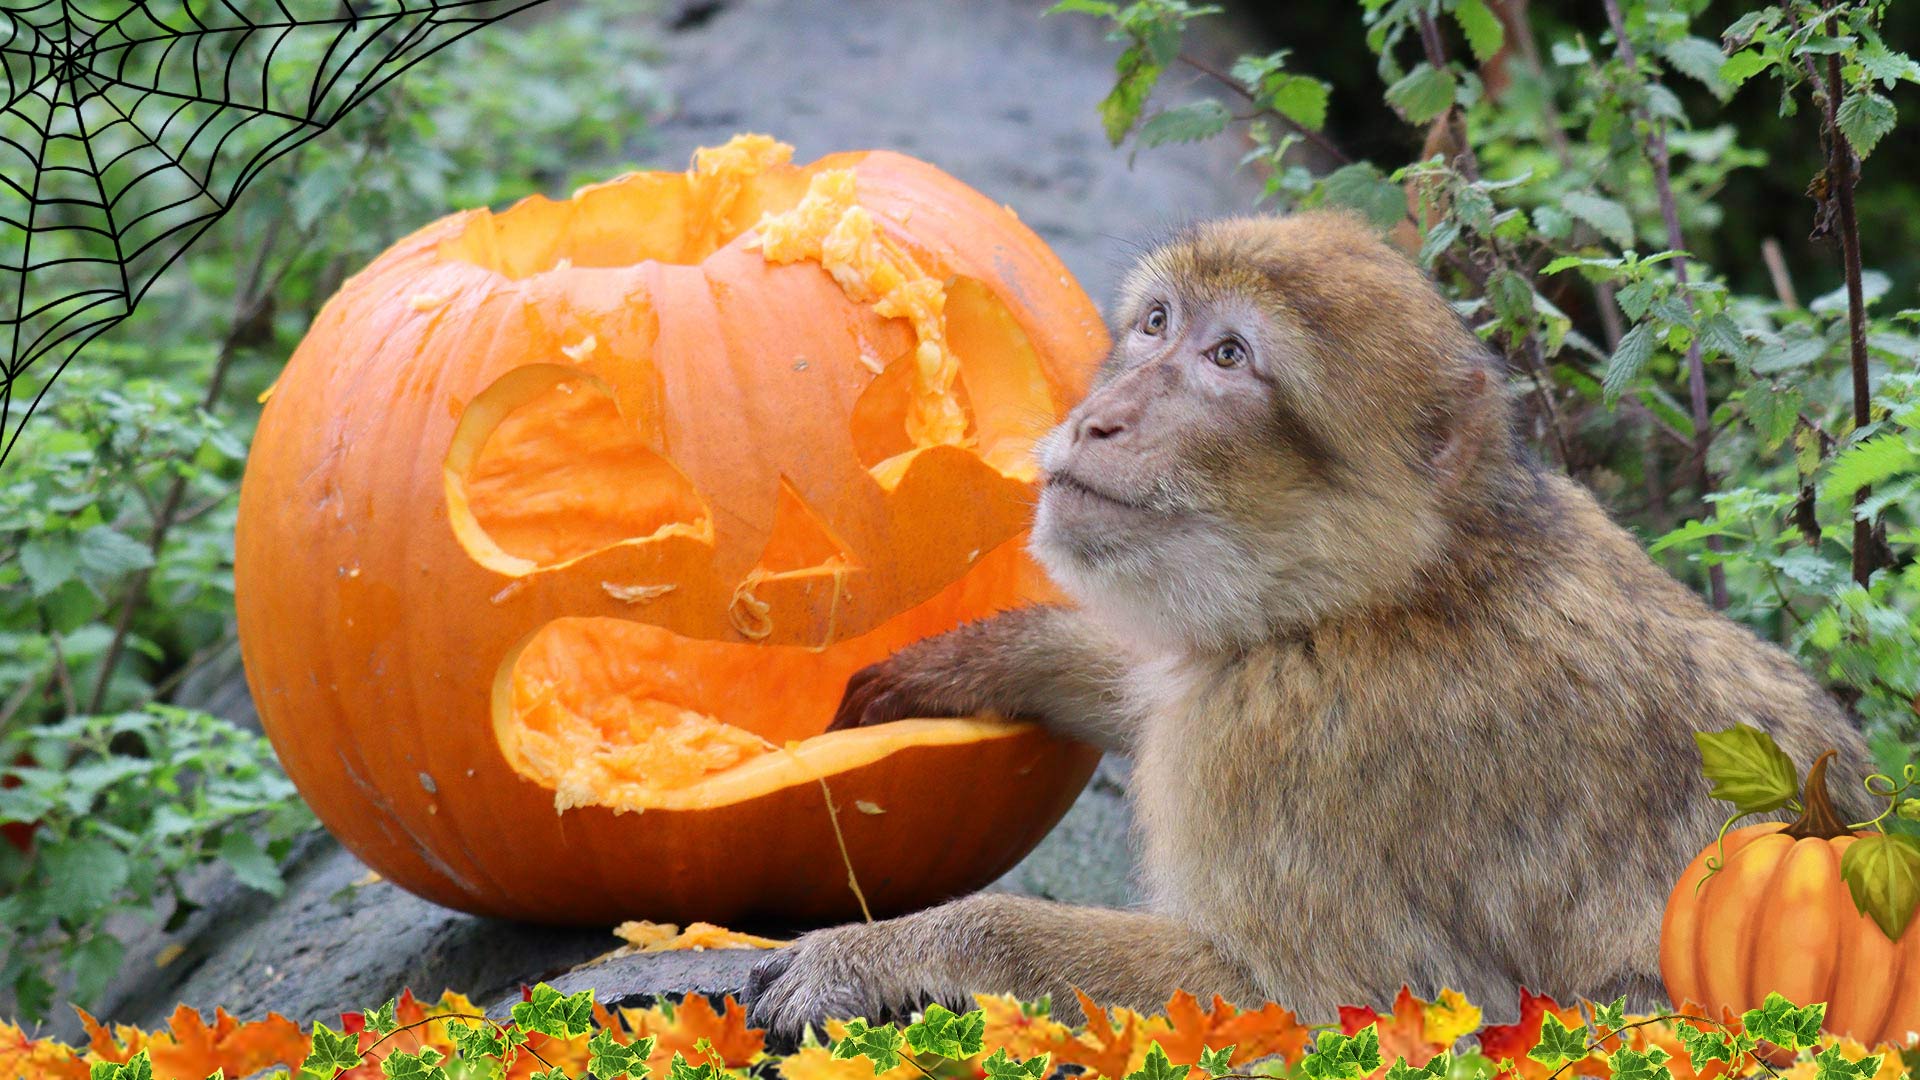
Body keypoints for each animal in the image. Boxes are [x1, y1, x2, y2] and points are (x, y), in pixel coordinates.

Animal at [743, 211, 1880, 1039]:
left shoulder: (1294, 750)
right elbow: (1161, 673)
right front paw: (991, 657)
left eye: (1230, 357)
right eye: (1157, 325)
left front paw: (900, 950)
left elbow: (1331, 1005)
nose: (1100, 419)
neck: (1376, 593)